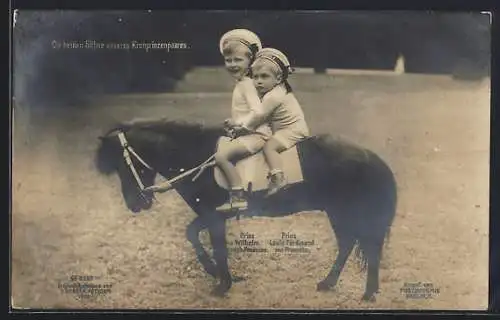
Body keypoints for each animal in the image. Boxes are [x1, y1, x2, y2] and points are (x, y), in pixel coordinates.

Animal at [94, 120, 398, 302]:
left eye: (124, 165)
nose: (135, 204)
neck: (196, 158)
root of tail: (372, 158)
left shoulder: (214, 216)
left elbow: (212, 244)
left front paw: (221, 283)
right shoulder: (213, 215)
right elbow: (193, 234)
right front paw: (217, 273)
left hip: (349, 212)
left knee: (365, 247)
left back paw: (367, 293)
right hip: (338, 213)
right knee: (348, 244)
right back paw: (331, 283)